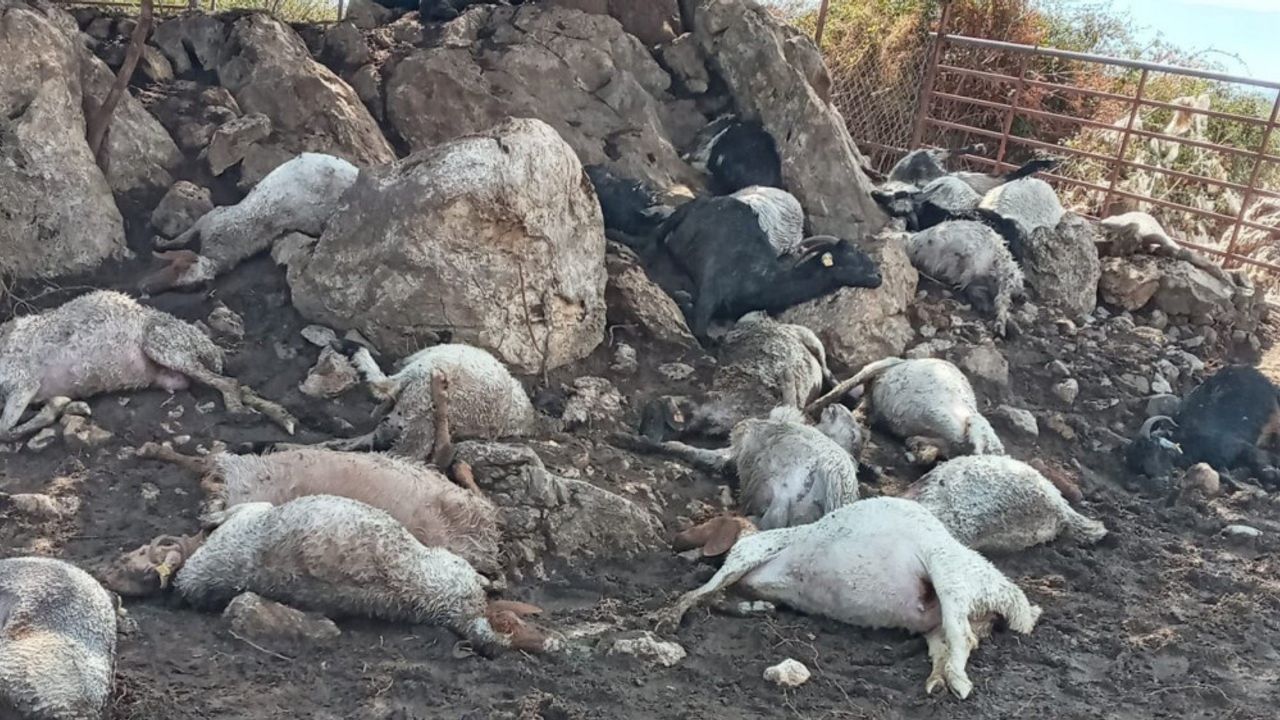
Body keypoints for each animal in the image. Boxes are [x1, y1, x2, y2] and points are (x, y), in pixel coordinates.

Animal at [0, 290, 296, 439]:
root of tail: (206, 343)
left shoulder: (23, 382)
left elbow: (4, 430)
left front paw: (60, 406)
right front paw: (71, 405)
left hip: (164, 345)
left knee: (229, 382)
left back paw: (240, 413)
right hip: (174, 370)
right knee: (237, 385)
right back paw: (281, 417)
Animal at [140, 153, 358, 293]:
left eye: (184, 286)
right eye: (173, 266)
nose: (144, 288)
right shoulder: (211, 218)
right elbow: (183, 237)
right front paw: (161, 241)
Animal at [653, 497, 1042, 699]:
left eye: (708, 523)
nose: (676, 540)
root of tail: (1012, 599)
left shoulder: (746, 555)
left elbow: (701, 592)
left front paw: (669, 618)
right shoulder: (743, 577)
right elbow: (716, 597)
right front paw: (756, 608)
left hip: (948, 574)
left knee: (964, 637)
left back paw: (958, 684)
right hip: (939, 616)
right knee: (948, 643)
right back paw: (936, 681)